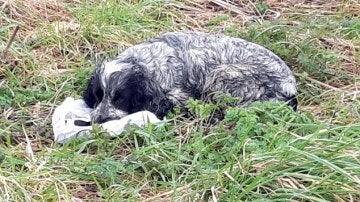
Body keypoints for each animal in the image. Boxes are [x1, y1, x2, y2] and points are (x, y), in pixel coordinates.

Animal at [83, 31, 296, 123]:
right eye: (98, 96)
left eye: (120, 99)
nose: (99, 119)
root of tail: (290, 87)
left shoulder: (178, 96)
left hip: (221, 75)